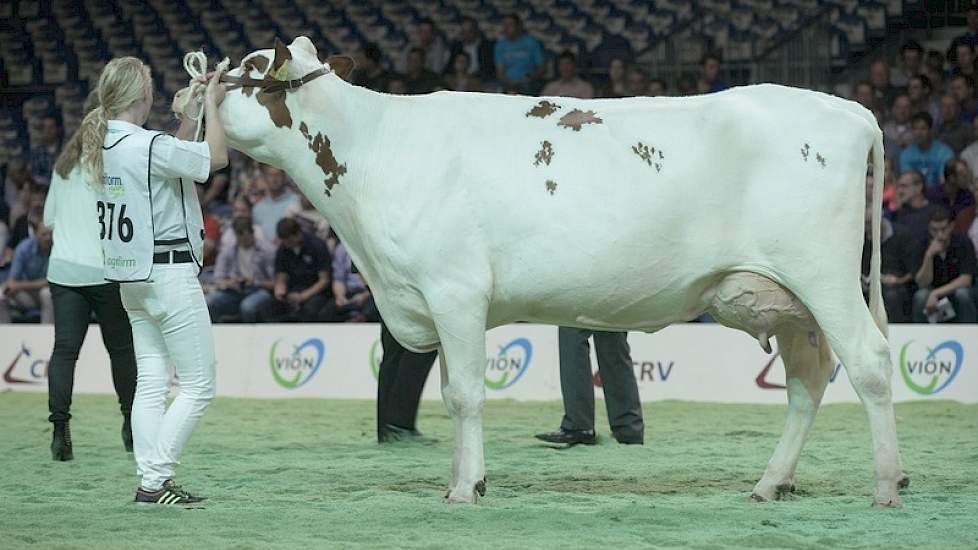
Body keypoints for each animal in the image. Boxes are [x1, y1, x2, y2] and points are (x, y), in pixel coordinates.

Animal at [214, 36, 908, 506]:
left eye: (247, 67)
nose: (203, 77)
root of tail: (848, 109)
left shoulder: (455, 291)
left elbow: (465, 395)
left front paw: (466, 488)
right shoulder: (432, 299)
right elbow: (449, 392)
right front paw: (462, 478)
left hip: (823, 276)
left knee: (869, 363)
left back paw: (884, 485)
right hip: (788, 300)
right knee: (807, 381)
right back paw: (771, 482)